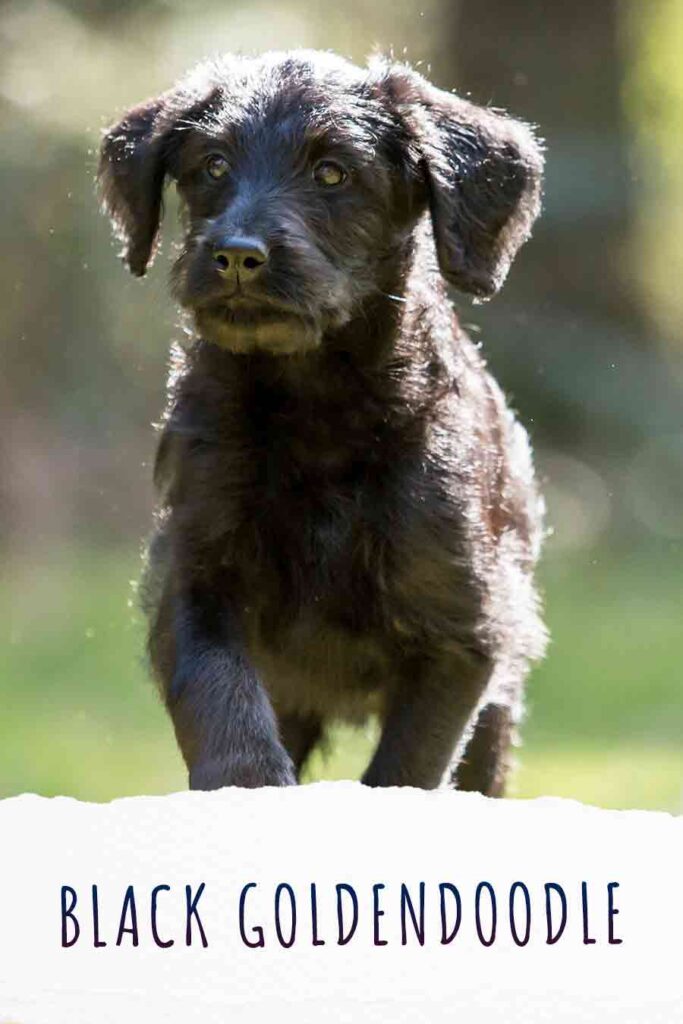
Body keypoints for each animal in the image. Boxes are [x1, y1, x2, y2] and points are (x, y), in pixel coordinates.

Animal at [98, 49, 548, 790]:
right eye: (212, 165)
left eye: (332, 172)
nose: (237, 256)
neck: (313, 406)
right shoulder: (194, 573)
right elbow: (215, 688)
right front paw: (247, 777)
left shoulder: (462, 631)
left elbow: (407, 765)